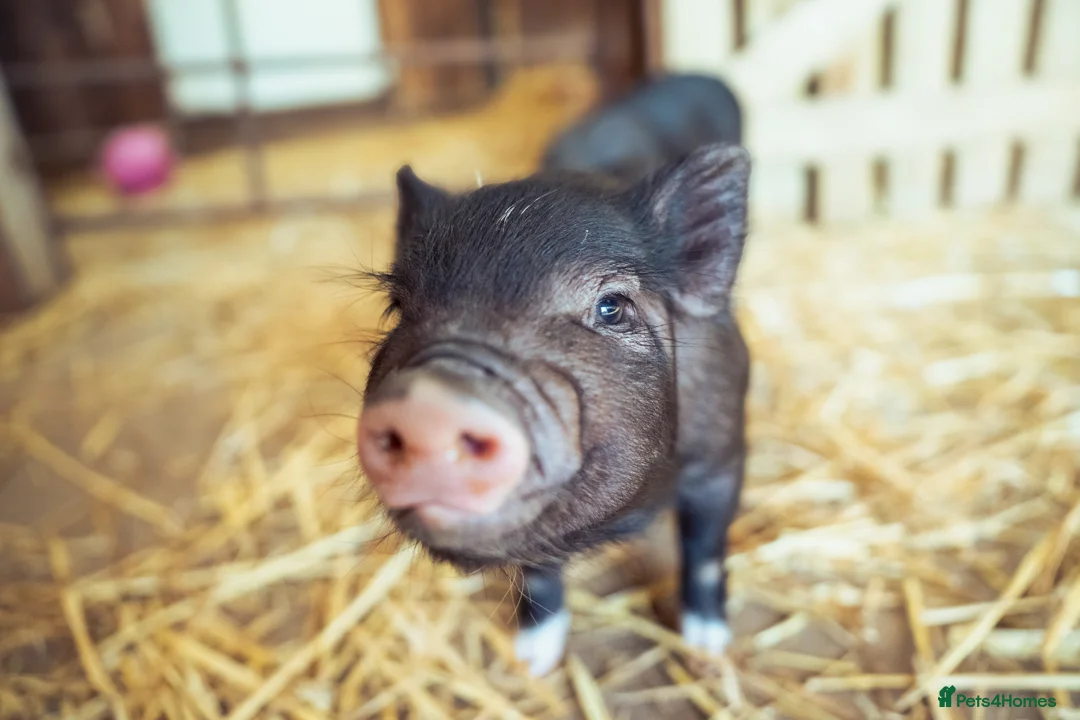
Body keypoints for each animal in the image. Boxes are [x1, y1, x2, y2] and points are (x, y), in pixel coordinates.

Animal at [356, 141, 751, 676]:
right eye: (399, 307)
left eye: (611, 306)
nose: (427, 405)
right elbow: (539, 572)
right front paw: (529, 664)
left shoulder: (722, 456)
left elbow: (705, 551)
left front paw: (707, 655)